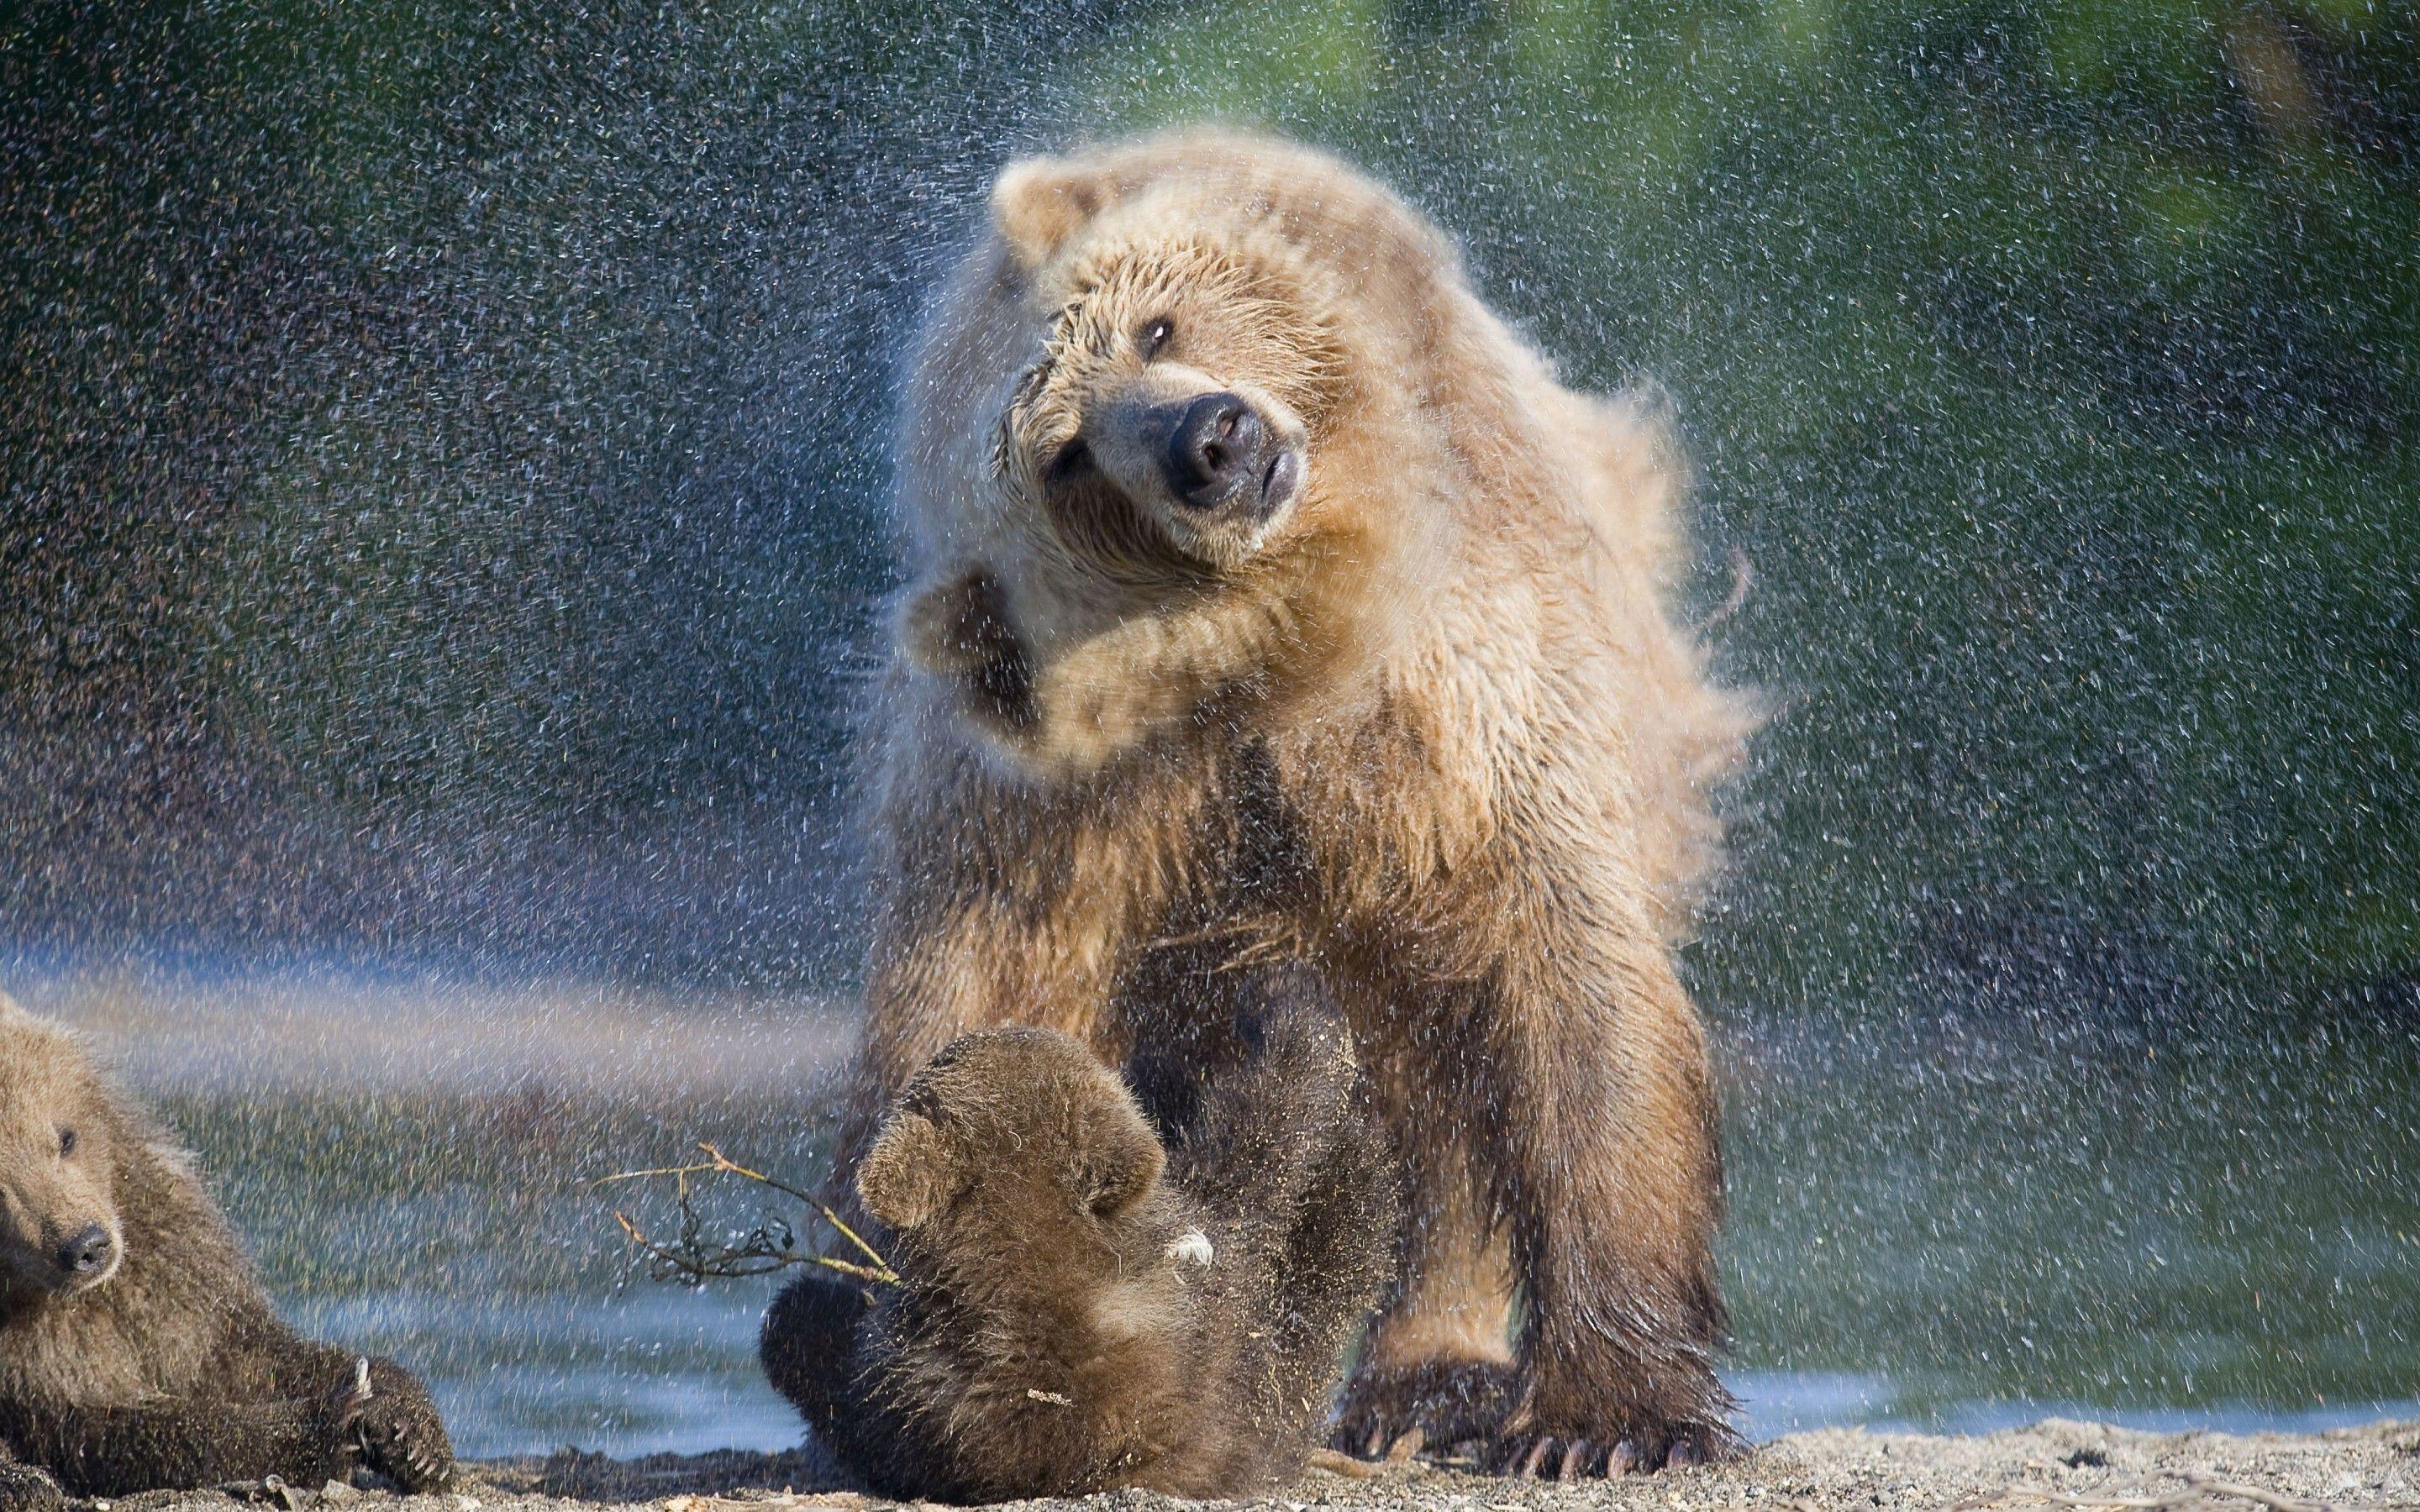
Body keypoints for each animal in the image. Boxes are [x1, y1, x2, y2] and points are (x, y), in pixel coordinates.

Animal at [0, 995, 454, 1508]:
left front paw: (407, 1430)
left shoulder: (163, 1267)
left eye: (65, 1138)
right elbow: (102, 1428)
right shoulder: (30, 1363)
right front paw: (324, 1429)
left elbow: (242, 1353)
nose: (87, 1246)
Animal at [835, 126, 1760, 1478]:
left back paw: (1424, 1378)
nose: (1212, 442)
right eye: (1066, 455)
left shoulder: (1464, 699)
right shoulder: (1042, 819)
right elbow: (979, 1010)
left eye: (1156, 325)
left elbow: (1568, 995)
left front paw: (1604, 1420)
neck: (1277, 655)